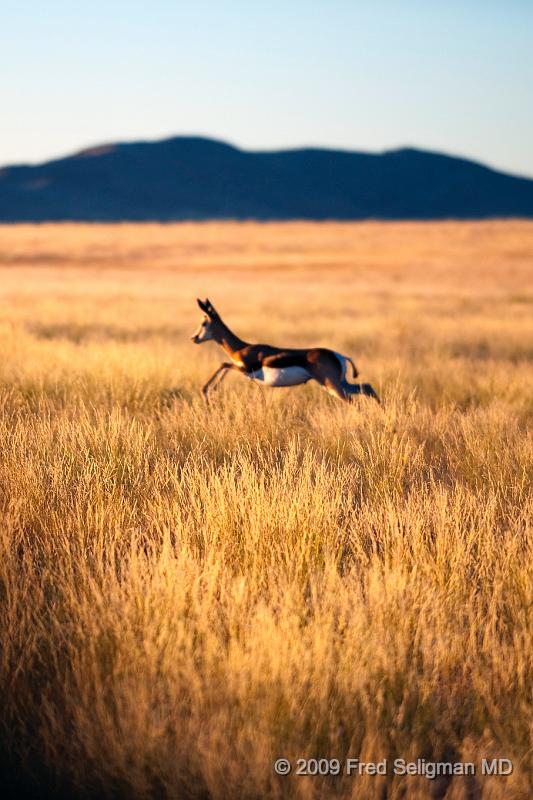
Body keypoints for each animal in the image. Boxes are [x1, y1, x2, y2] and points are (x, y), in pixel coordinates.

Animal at [191, 296, 378, 404]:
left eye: (204, 323)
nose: (194, 338)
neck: (242, 347)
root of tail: (339, 356)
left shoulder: (245, 369)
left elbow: (223, 364)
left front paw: (207, 392)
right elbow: (224, 365)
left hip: (332, 385)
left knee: (353, 401)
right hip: (339, 383)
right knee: (367, 388)